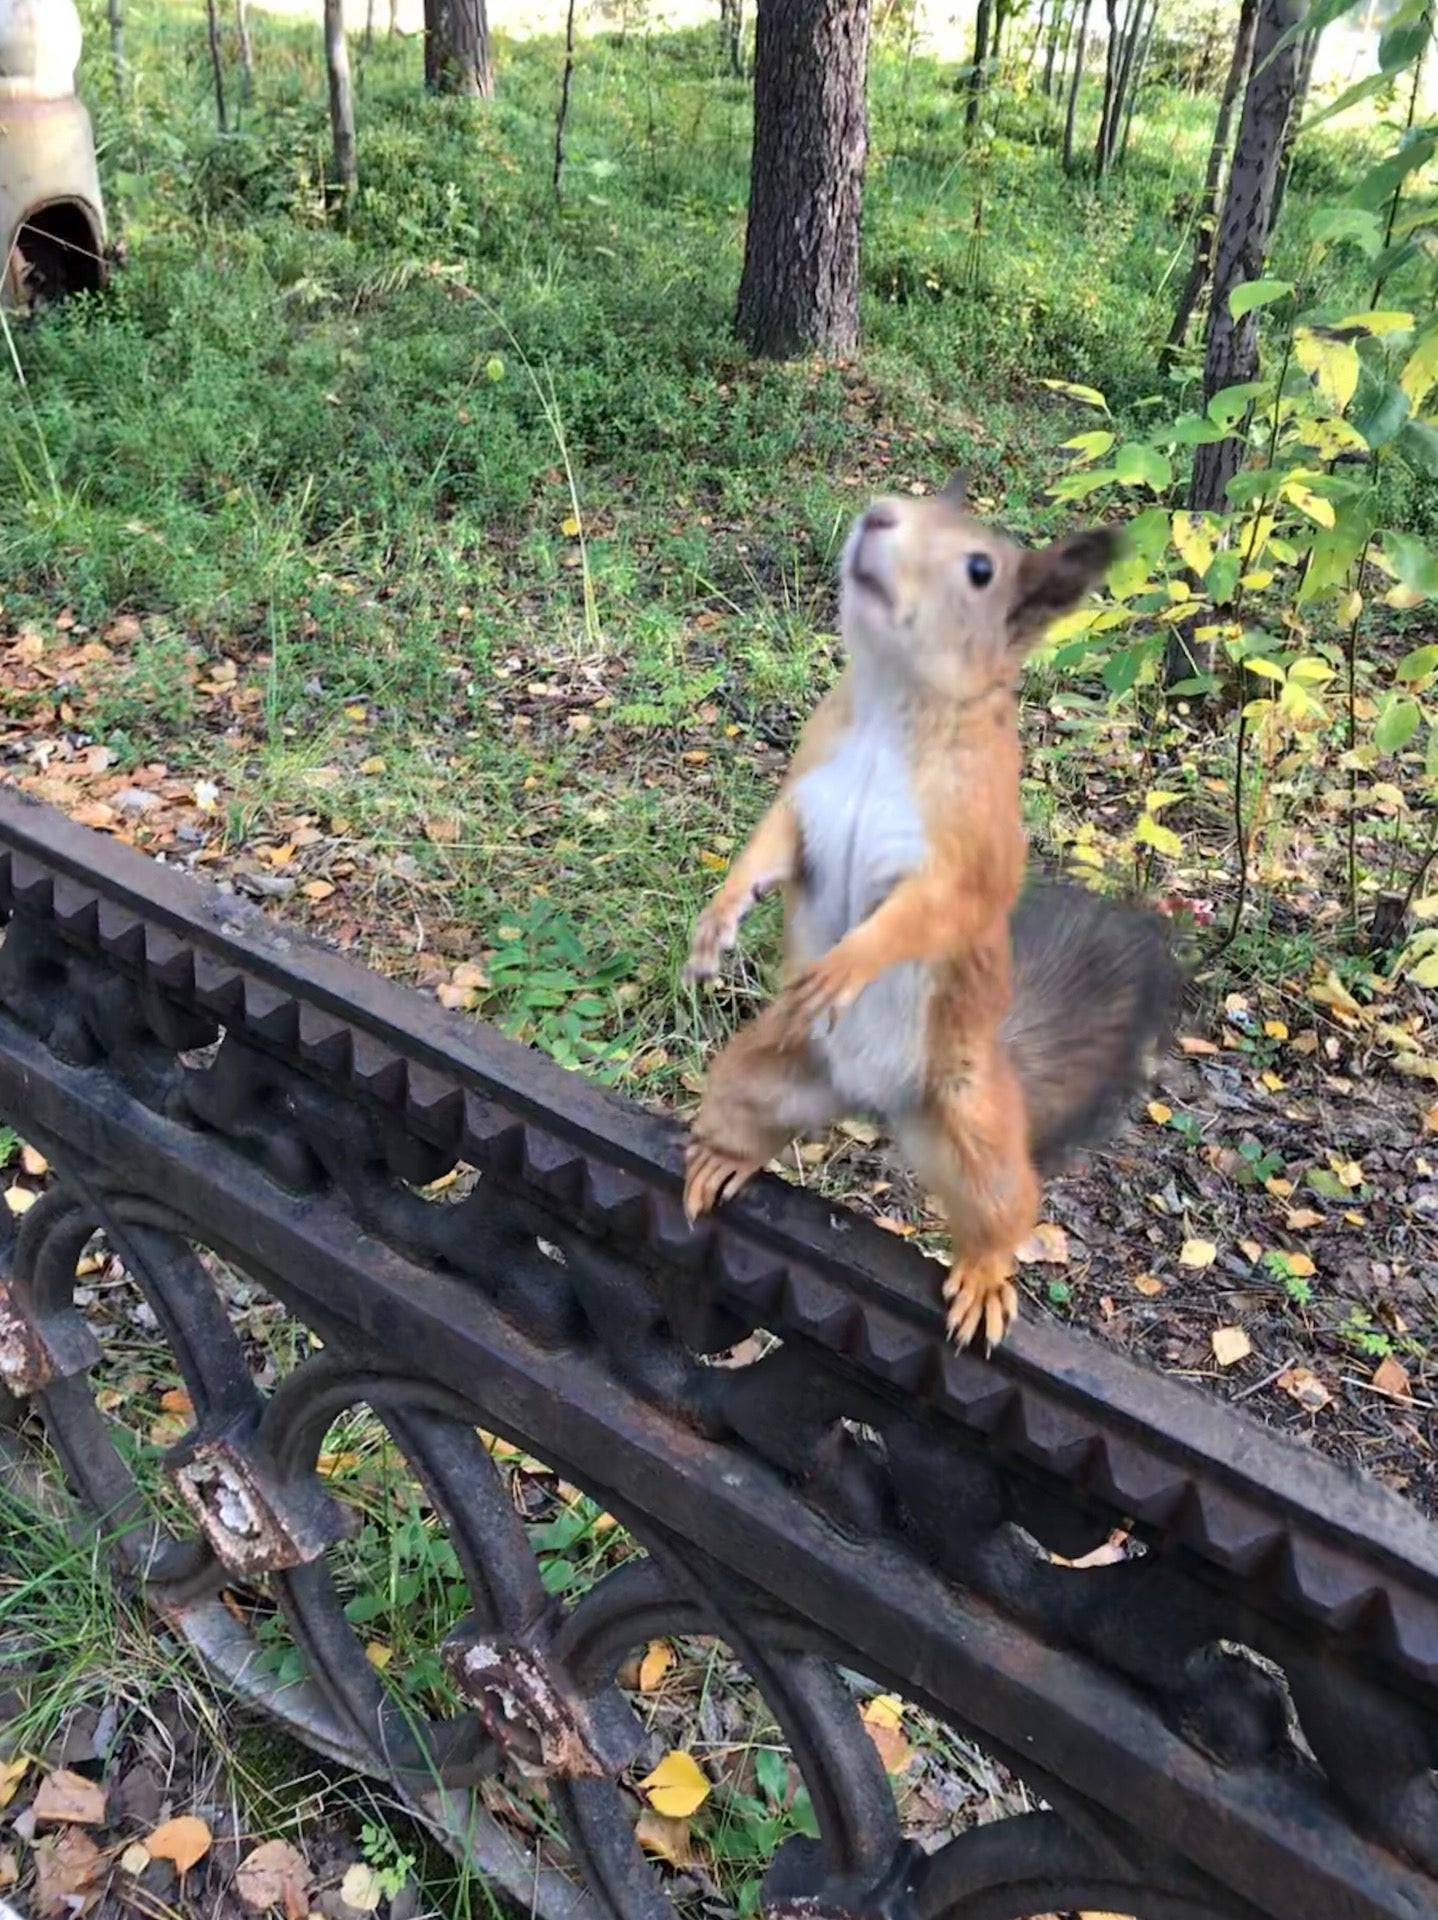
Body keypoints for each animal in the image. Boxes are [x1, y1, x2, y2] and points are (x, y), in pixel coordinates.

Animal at [679, 478, 1174, 1351]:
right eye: (897, 505)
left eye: (981, 569)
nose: (876, 518)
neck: (890, 708)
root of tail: (868, 1103)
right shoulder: (806, 795)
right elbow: (767, 849)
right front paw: (720, 918)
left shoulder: (966, 849)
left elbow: (925, 917)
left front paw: (846, 964)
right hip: (754, 1075)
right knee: (752, 1121)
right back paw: (723, 1160)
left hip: (974, 1130)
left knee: (1003, 1211)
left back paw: (984, 1278)